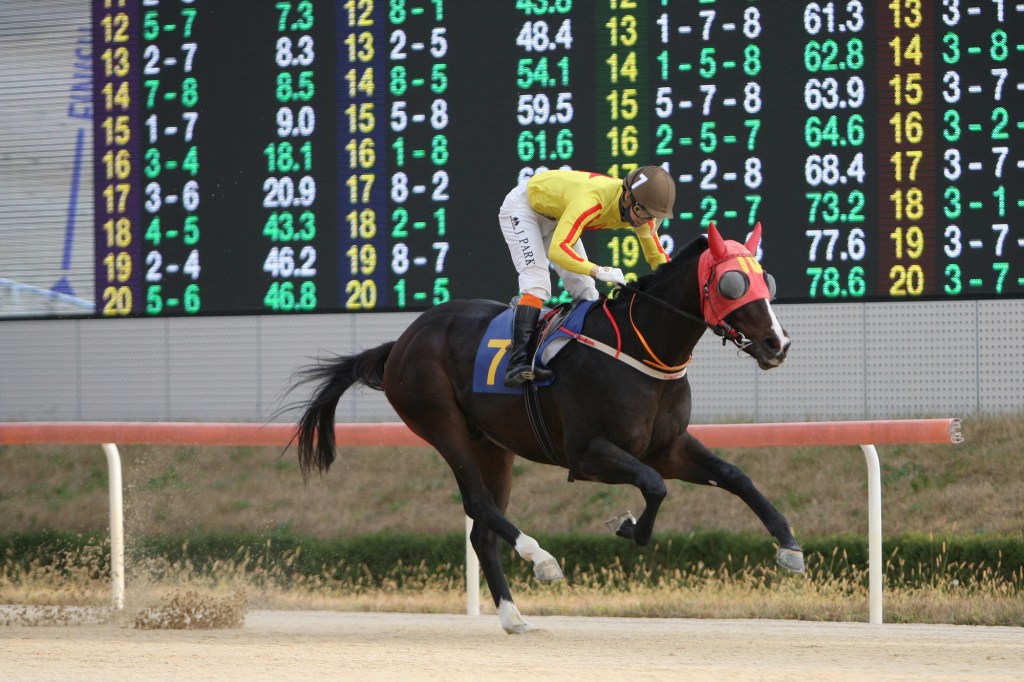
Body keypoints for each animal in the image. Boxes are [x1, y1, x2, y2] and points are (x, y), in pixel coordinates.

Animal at [292, 222, 802, 634]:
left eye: (766, 280)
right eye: (732, 283)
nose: (777, 343)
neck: (641, 347)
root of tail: (401, 340)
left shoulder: (668, 446)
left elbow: (735, 476)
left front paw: (790, 547)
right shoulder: (588, 454)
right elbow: (655, 486)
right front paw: (628, 526)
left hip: (493, 446)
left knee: (481, 530)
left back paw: (513, 617)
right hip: (441, 425)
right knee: (480, 505)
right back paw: (541, 559)